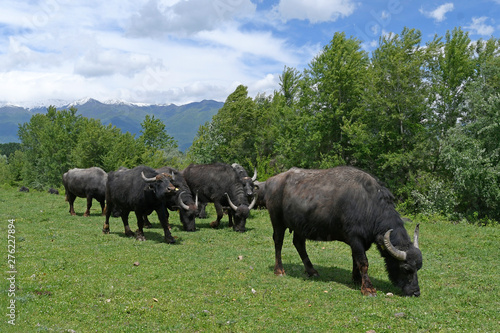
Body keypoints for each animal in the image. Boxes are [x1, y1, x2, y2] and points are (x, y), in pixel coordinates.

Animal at [266, 166, 422, 296]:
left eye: (418, 268)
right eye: (406, 269)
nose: (415, 292)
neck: (368, 205)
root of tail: (272, 181)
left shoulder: (361, 242)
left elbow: (356, 259)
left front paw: (357, 279)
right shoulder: (355, 238)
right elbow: (363, 262)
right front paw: (368, 288)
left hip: (300, 226)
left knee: (299, 243)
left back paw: (312, 271)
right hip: (277, 220)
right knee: (278, 242)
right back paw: (279, 270)